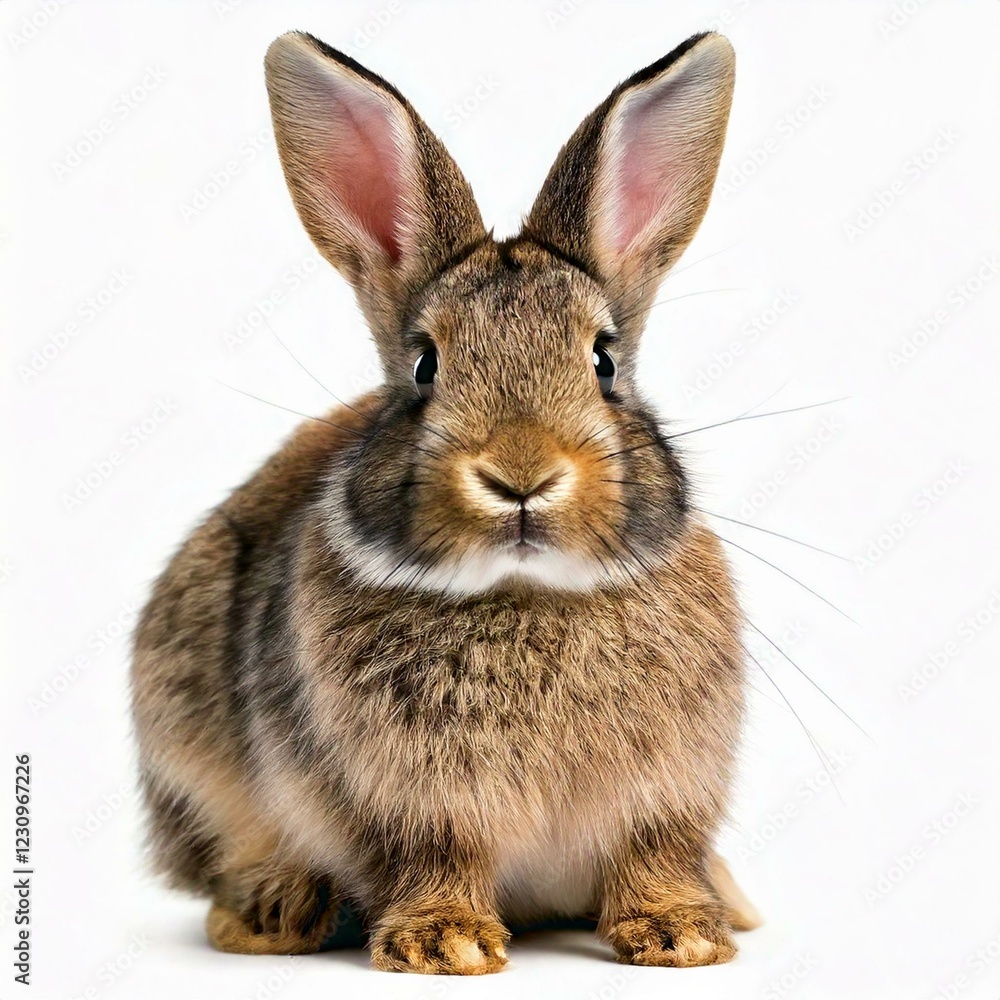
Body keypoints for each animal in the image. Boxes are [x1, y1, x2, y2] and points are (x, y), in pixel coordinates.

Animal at [130, 29, 761, 974]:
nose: (521, 473)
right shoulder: (410, 805)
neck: (525, 591)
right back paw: (277, 910)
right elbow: (436, 857)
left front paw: (682, 935)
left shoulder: (664, 795)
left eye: (605, 361)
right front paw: (445, 945)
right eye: (425, 365)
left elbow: (651, 851)